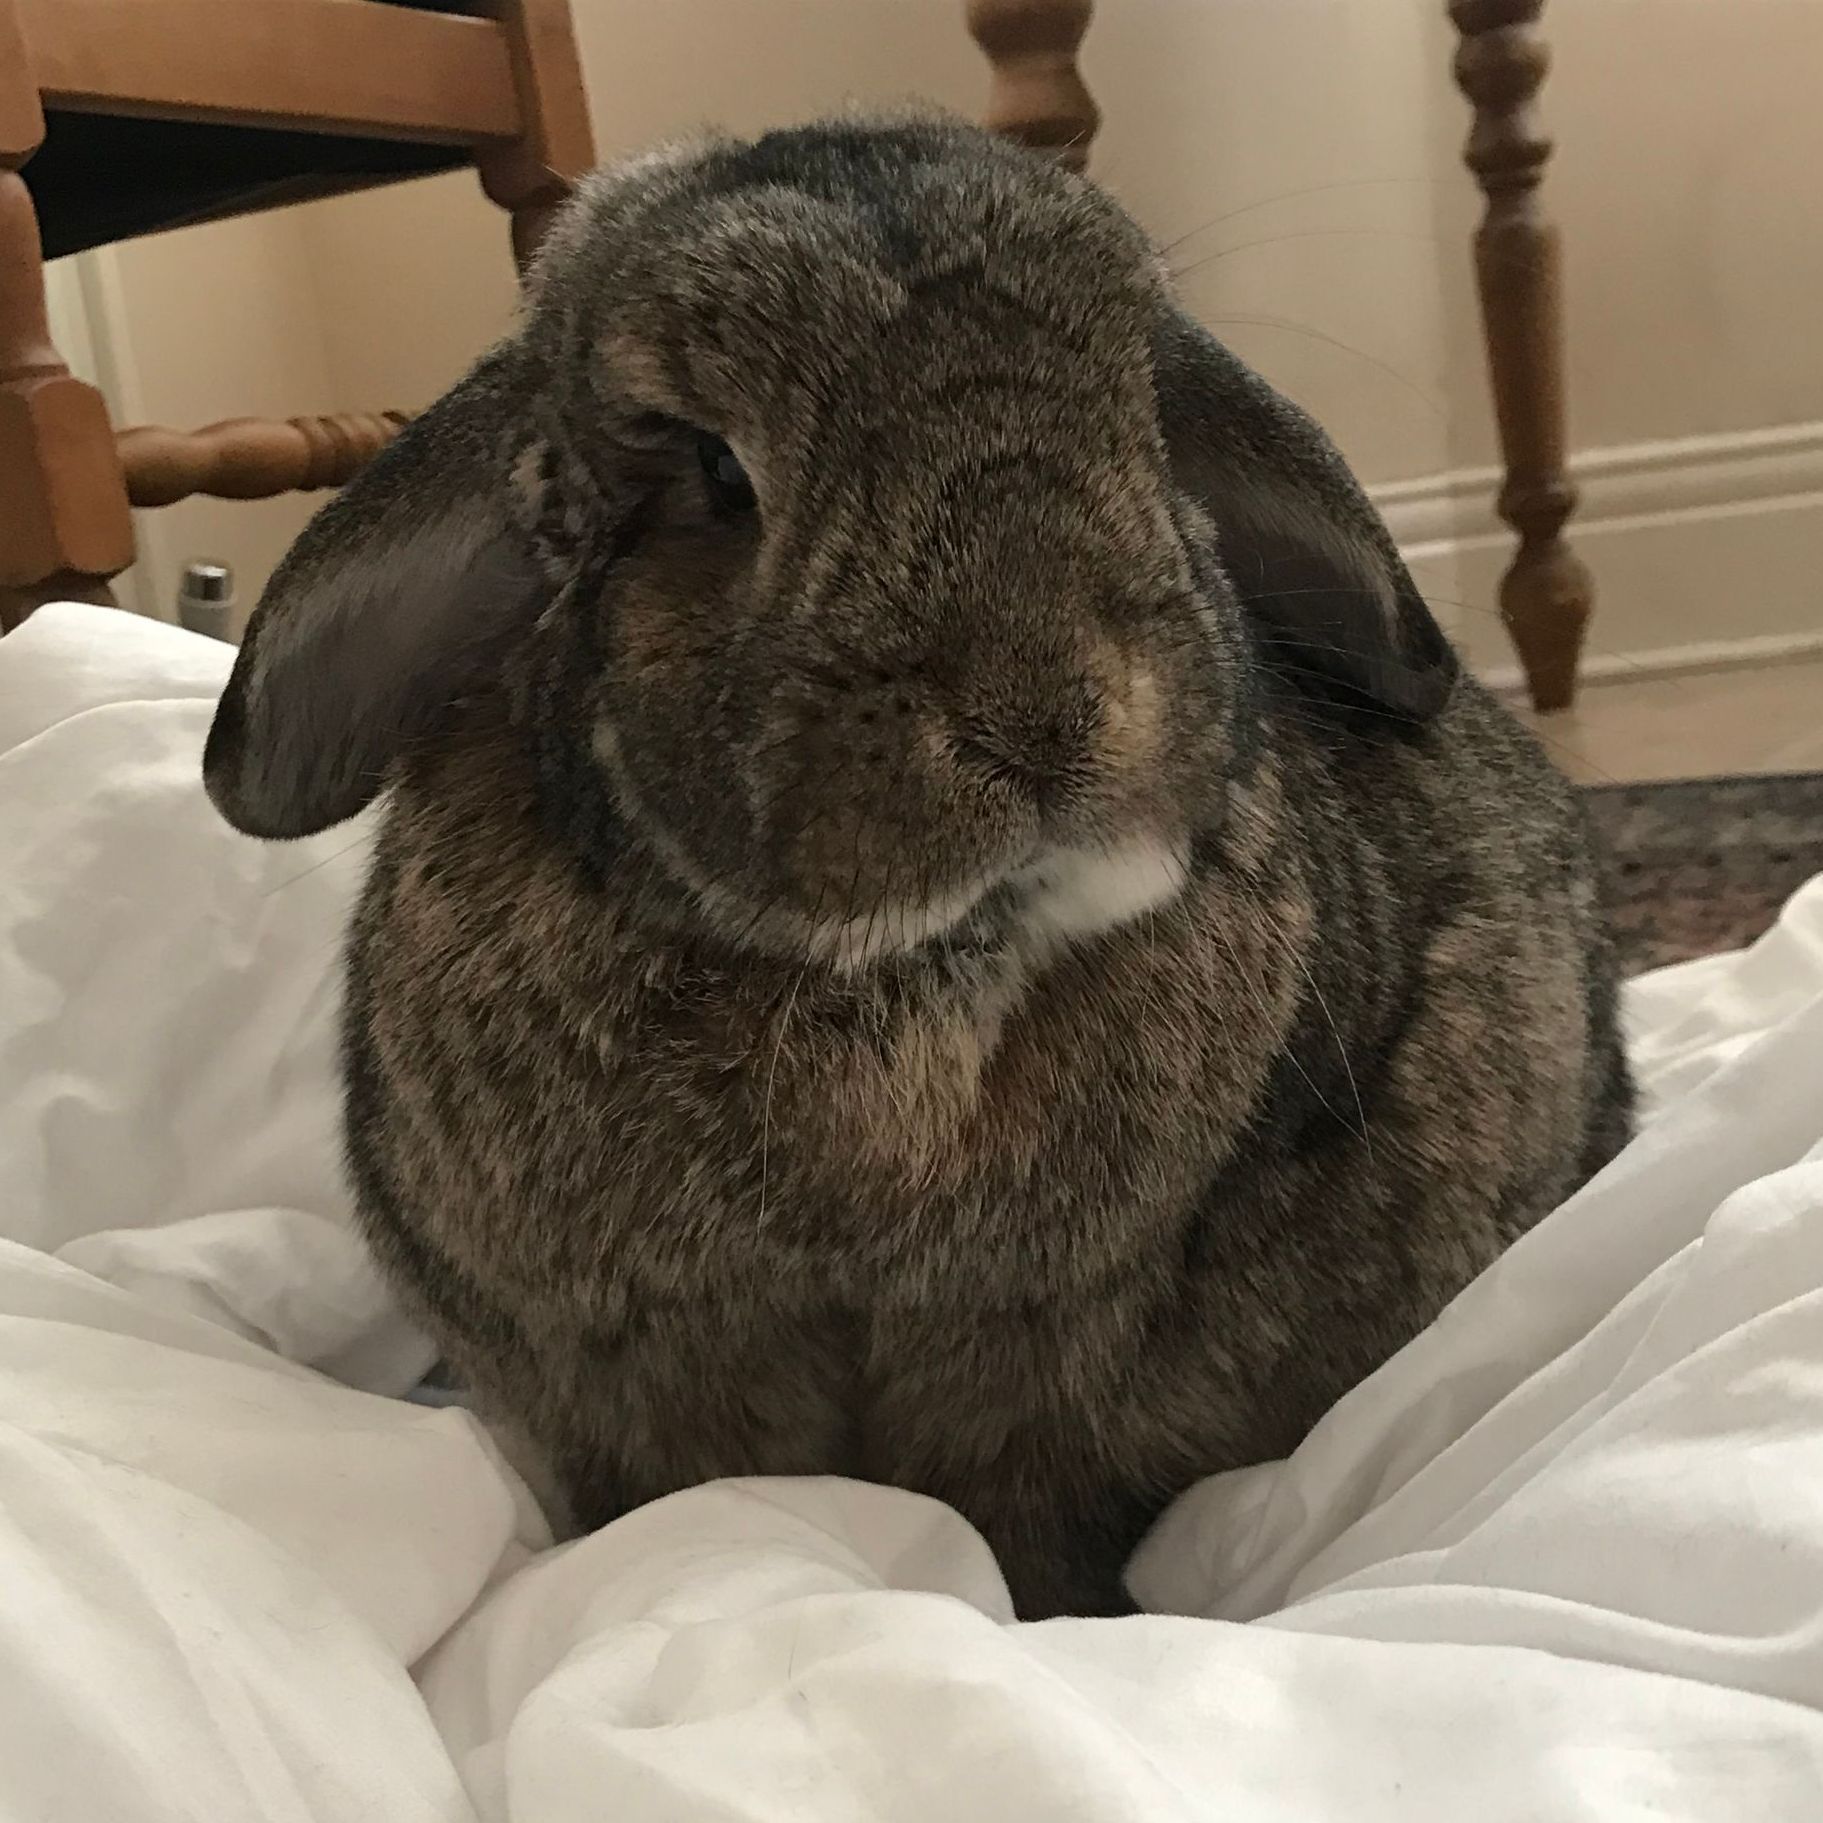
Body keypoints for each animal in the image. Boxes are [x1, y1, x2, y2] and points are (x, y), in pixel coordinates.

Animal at [203, 112, 1633, 1621]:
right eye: (712, 473)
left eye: (1146, 421)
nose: (1044, 711)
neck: (902, 982)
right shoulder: (645, 1377)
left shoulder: (1040, 1387)